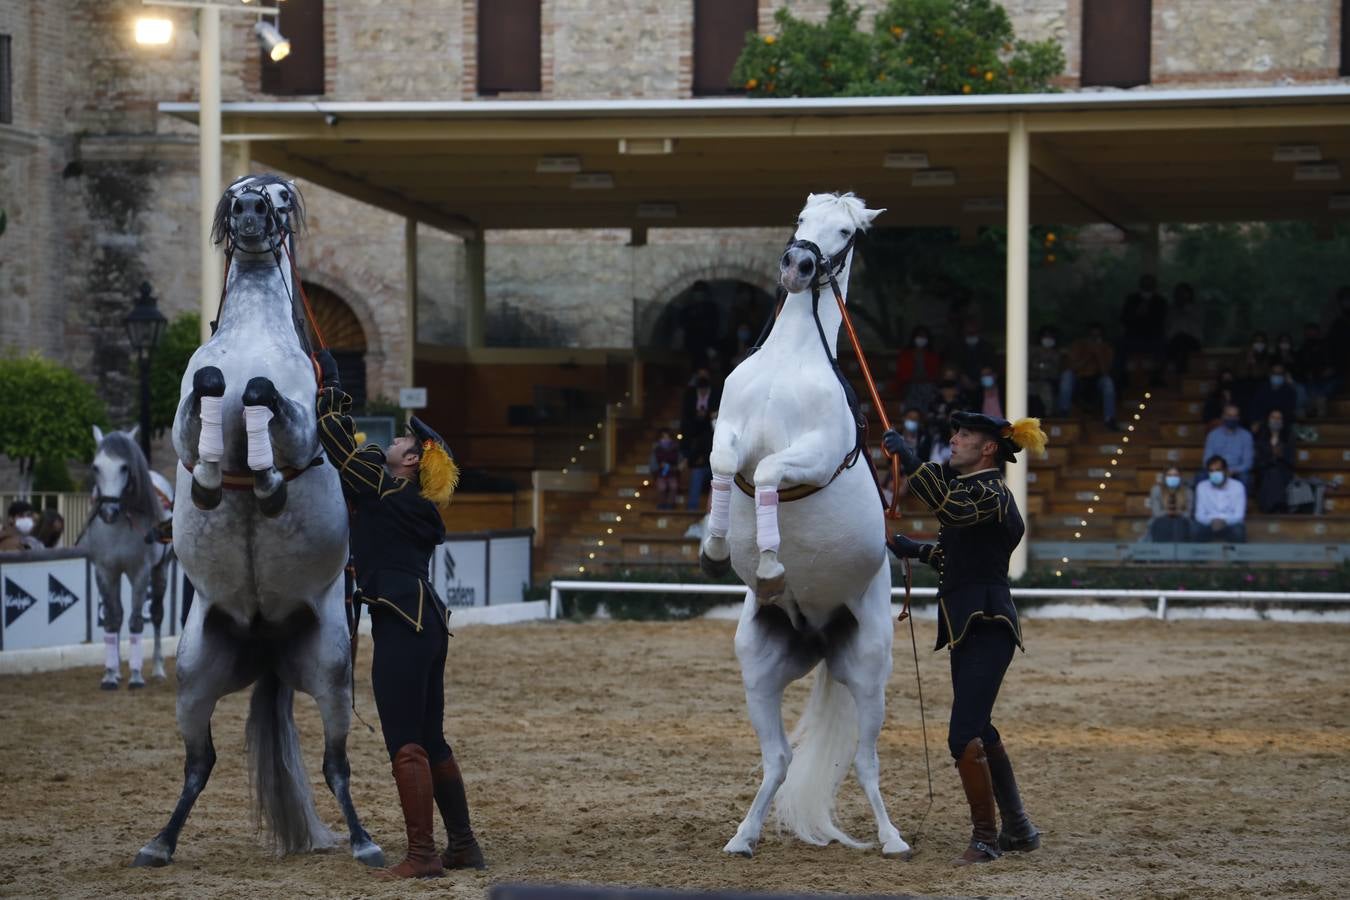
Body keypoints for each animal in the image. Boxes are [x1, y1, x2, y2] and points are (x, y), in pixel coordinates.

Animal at [131, 175, 383, 874]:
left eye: (279, 195)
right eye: (238, 191)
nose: (248, 212)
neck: (251, 340)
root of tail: (268, 643)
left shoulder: (301, 425)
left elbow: (264, 397)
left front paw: (266, 484)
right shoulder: (184, 421)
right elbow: (208, 395)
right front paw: (213, 479)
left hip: (330, 672)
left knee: (335, 766)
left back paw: (365, 841)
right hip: (194, 677)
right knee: (200, 764)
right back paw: (159, 843)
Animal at [696, 191, 907, 858]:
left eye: (845, 232)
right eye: (800, 221)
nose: (797, 265)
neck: (790, 359)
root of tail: (818, 633)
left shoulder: (810, 453)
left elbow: (766, 473)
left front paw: (768, 561)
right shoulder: (727, 431)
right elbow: (726, 465)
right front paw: (716, 543)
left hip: (869, 674)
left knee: (865, 762)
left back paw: (893, 840)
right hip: (760, 671)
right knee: (781, 760)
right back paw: (743, 837)